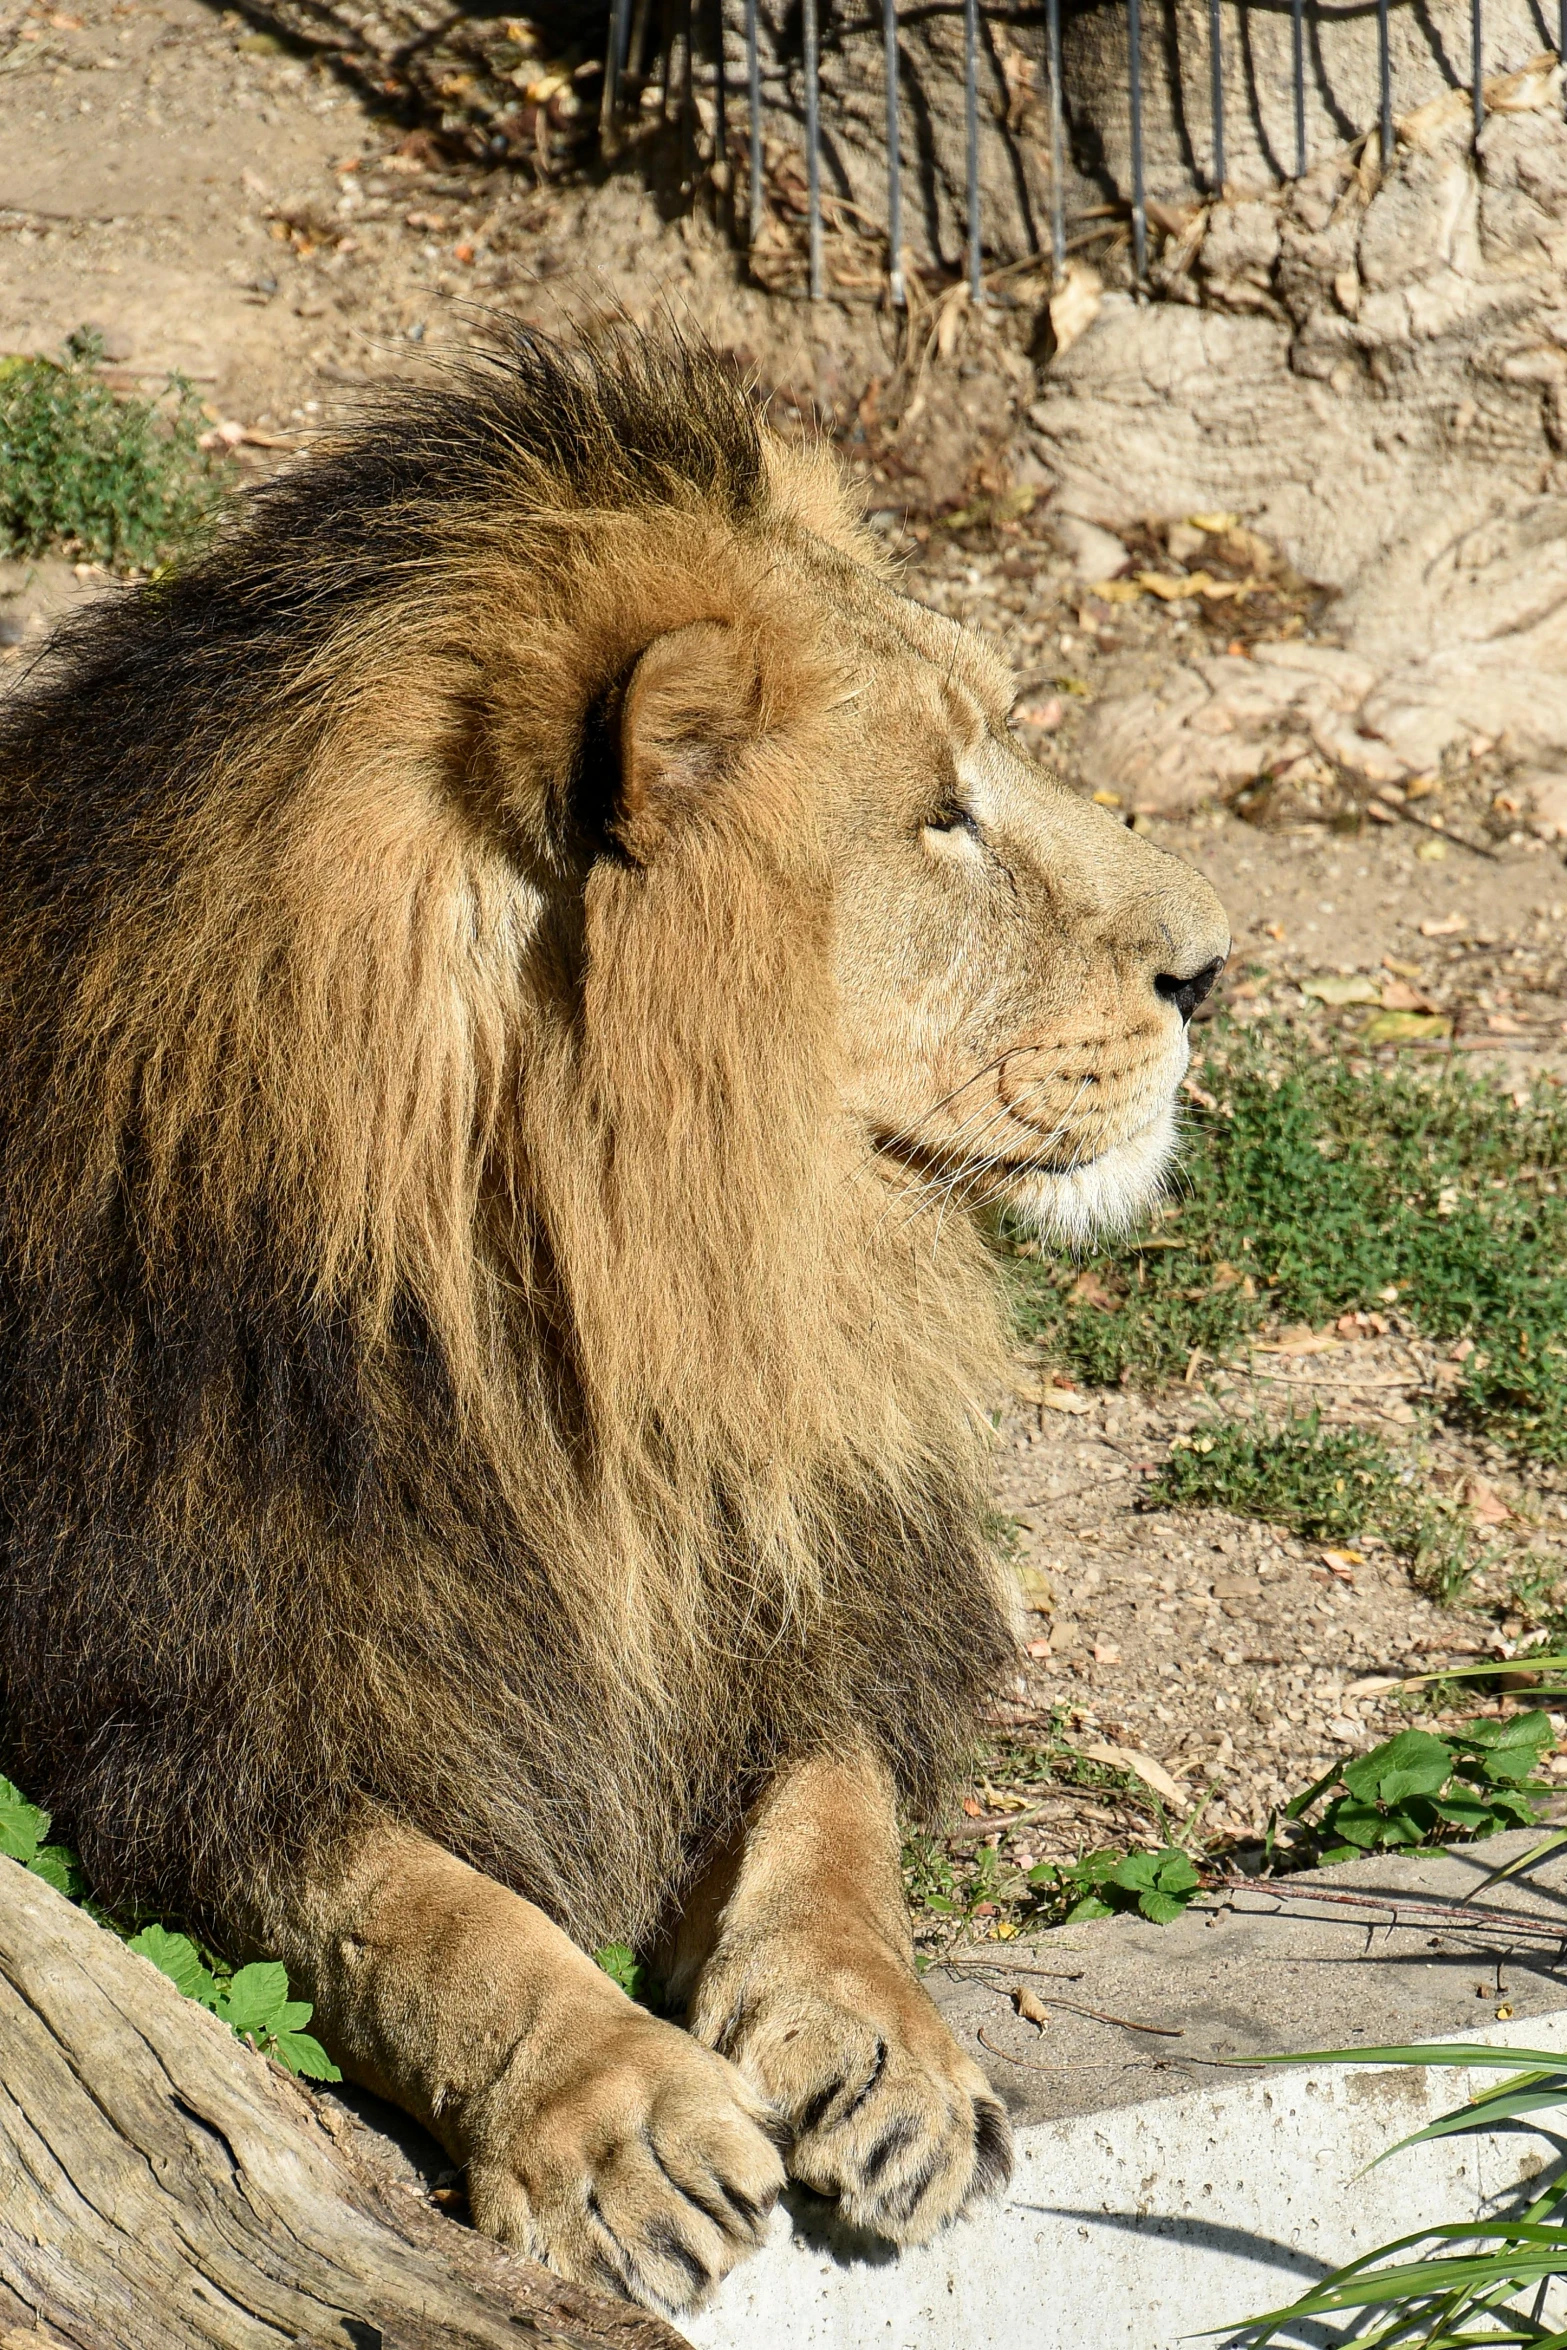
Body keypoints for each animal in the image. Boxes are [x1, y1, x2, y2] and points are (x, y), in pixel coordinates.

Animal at [0, 326, 1231, 2312]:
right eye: (937, 816)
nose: (1215, 966)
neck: (594, 1312)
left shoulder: (798, 1561)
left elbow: (829, 1814)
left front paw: (879, 2044)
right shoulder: (151, 1692)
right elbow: (416, 1906)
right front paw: (614, 2111)